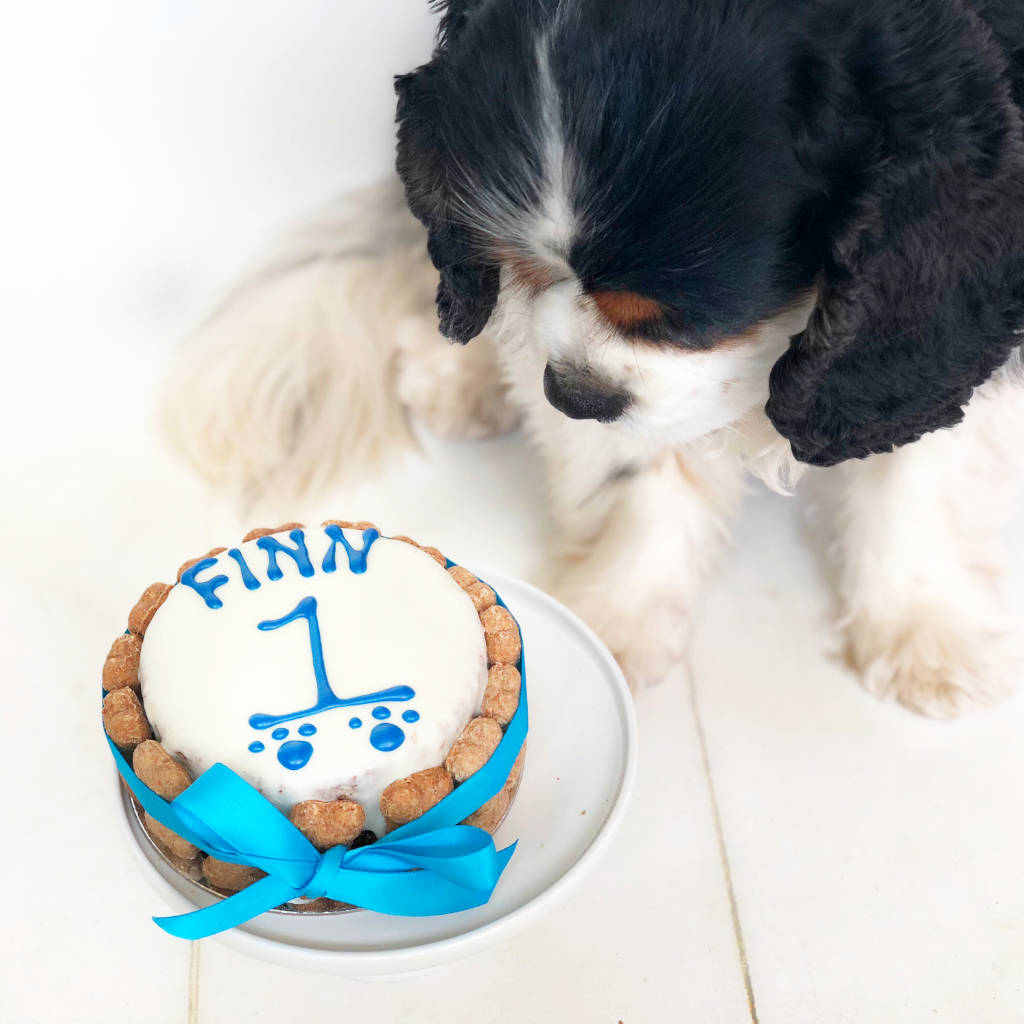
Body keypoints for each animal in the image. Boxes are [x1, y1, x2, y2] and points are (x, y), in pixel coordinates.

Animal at [163, 0, 1024, 720]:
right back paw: (459, 379)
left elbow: (916, 479)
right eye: (523, 265)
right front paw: (618, 620)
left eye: (682, 319)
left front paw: (923, 627)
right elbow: (640, 478)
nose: (573, 396)